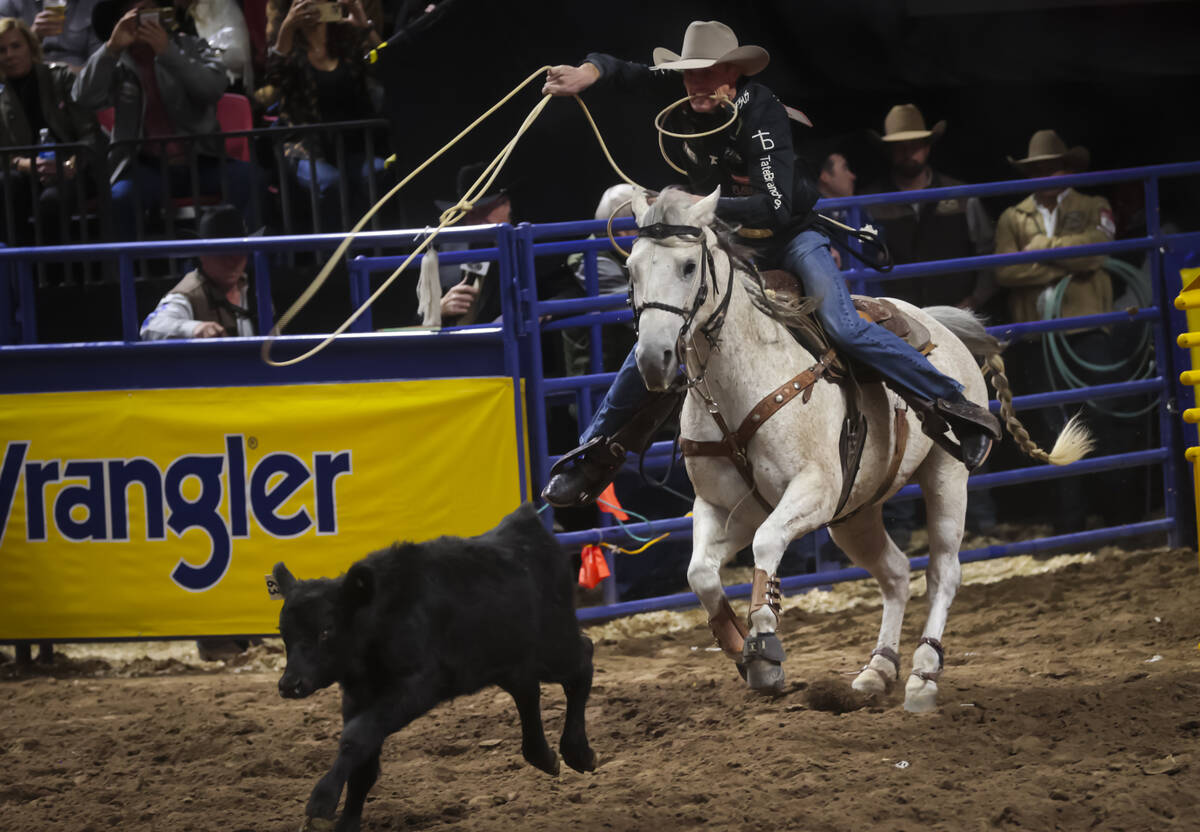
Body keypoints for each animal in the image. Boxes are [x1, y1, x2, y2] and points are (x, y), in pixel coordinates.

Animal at [628, 189, 1099, 715]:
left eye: (688, 266)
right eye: (631, 268)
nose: (653, 359)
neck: (742, 387)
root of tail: (938, 323)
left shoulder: (813, 490)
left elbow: (766, 543)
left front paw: (765, 642)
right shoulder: (725, 507)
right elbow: (700, 574)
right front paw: (739, 648)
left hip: (945, 478)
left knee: (943, 572)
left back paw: (923, 675)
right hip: (854, 515)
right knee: (895, 572)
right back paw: (878, 668)